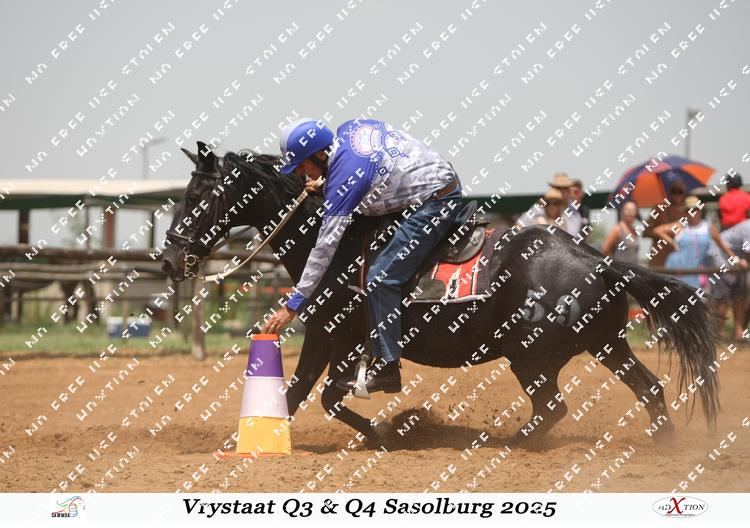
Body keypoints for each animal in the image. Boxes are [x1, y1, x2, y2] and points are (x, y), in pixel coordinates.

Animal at [161, 142, 719, 447]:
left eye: (196, 195)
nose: (168, 259)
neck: (335, 244)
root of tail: (598, 262)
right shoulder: (331, 340)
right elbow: (313, 396)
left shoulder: (334, 337)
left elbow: (313, 395)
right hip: (607, 344)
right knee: (649, 389)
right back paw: (662, 444)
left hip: (530, 356)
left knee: (553, 410)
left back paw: (507, 443)